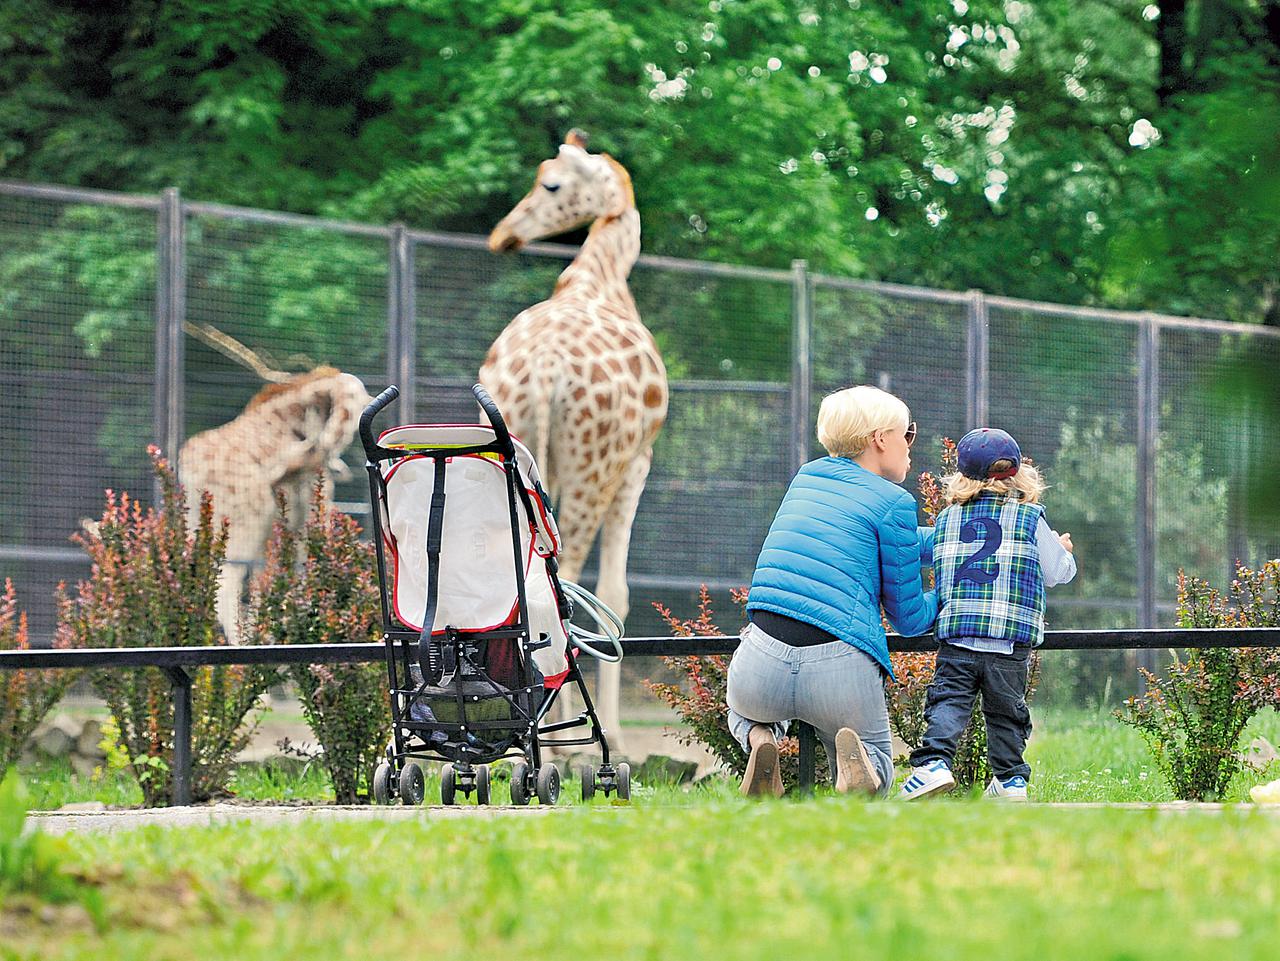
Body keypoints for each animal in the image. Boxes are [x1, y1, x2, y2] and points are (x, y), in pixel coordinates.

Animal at [177, 325, 373, 647]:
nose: (333, 463)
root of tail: (189, 468)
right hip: (246, 518)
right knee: (226, 577)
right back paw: (242, 641)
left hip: (204, 519)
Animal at [481, 129, 670, 742]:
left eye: (550, 184)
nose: (503, 234)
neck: (601, 277)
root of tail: (544, 370)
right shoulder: (635, 463)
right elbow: (613, 592)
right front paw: (609, 726)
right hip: (595, 465)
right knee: (559, 582)